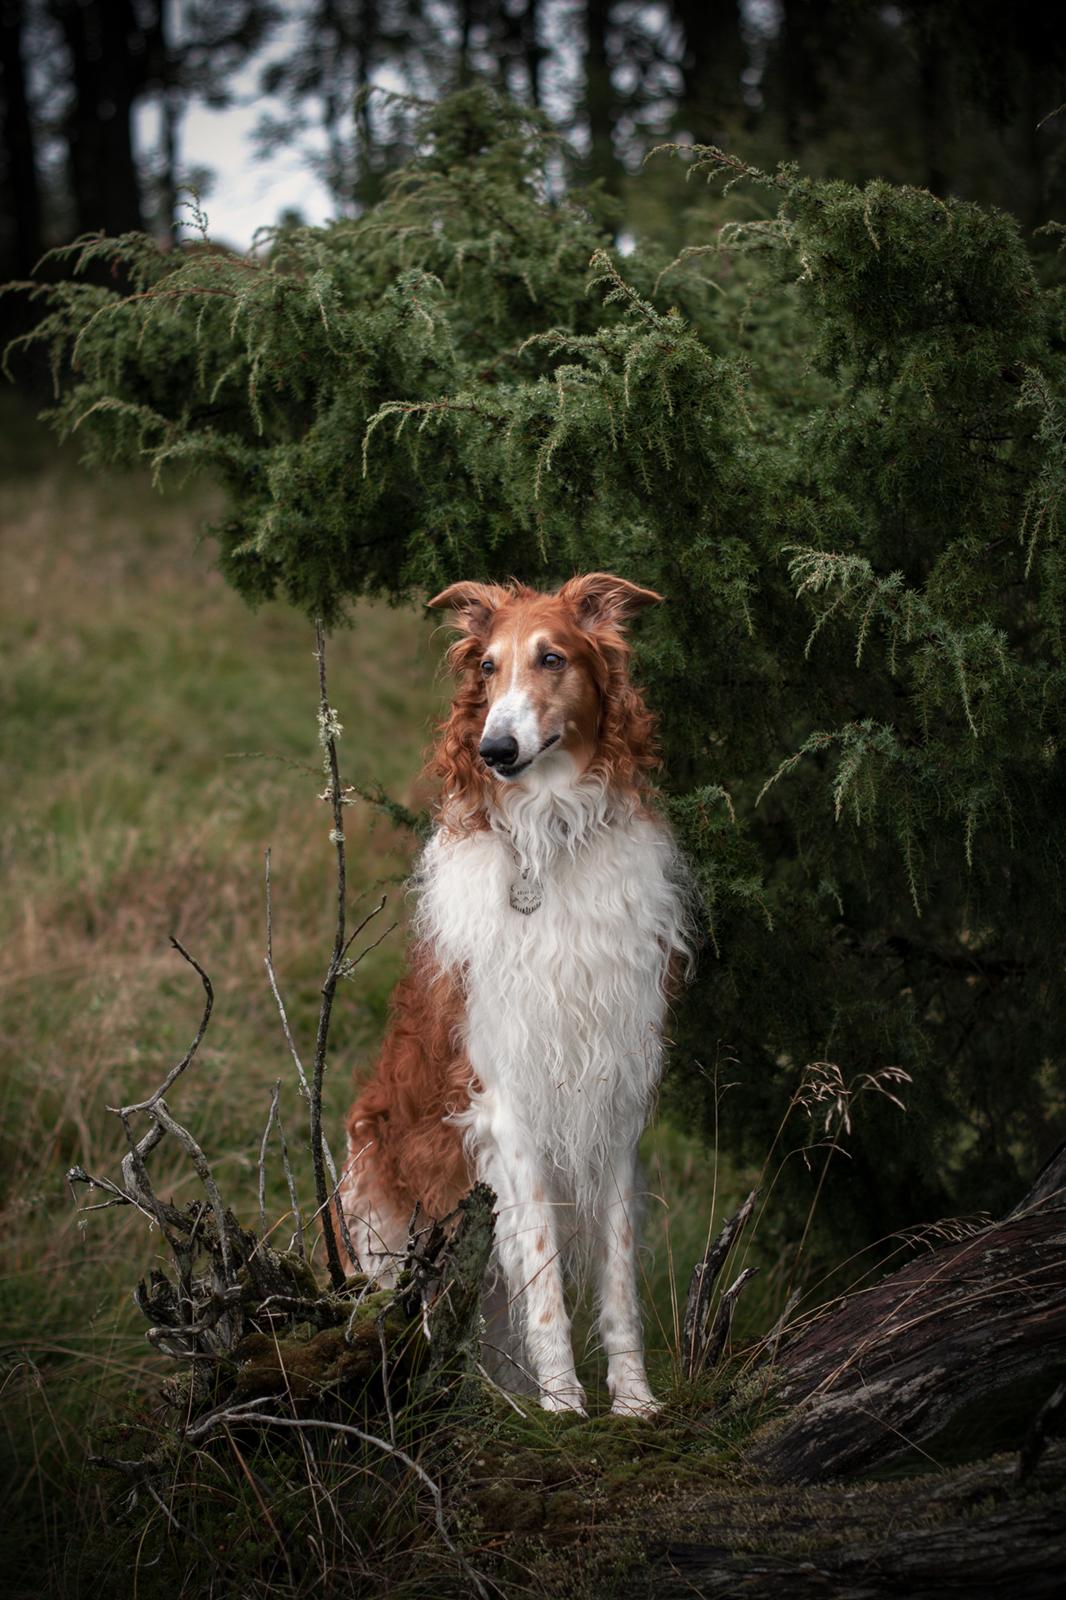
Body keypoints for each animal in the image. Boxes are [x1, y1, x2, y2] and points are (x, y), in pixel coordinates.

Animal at [337, 576, 688, 1414]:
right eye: (488, 667)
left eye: (552, 658)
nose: (494, 751)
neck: (548, 840)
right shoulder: (508, 1104)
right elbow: (544, 1277)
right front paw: (562, 1406)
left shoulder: (616, 1097)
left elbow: (617, 1277)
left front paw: (633, 1401)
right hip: (372, 1199)